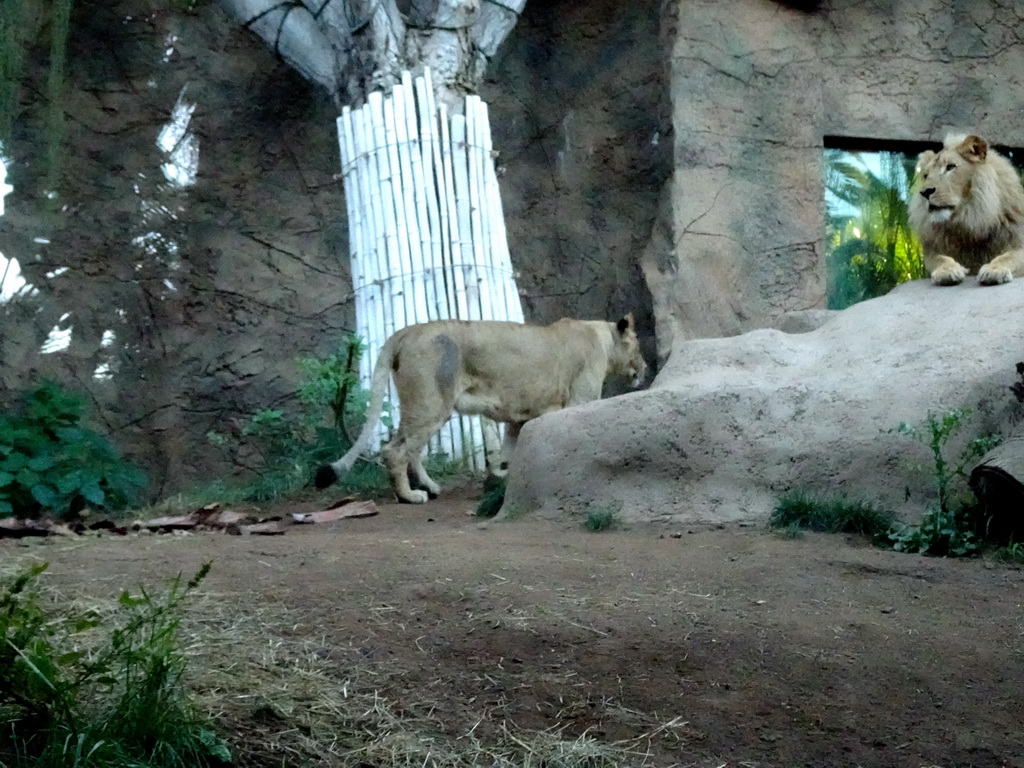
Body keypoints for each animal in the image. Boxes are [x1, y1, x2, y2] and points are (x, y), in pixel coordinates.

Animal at [311, 313, 647, 505]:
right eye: (639, 345)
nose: (644, 368)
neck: (603, 338)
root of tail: (408, 331)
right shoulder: (579, 400)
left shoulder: (519, 418)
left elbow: (510, 453)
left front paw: (501, 479)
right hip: (430, 403)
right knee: (394, 451)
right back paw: (410, 496)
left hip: (428, 406)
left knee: (410, 449)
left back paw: (431, 487)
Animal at [909, 134, 1024, 286]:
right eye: (926, 175)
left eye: (950, 167)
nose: (925, 192)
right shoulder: (932, 253)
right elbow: (940, 259)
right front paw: (947, 271)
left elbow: (1008, 256)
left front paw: (994, 270)